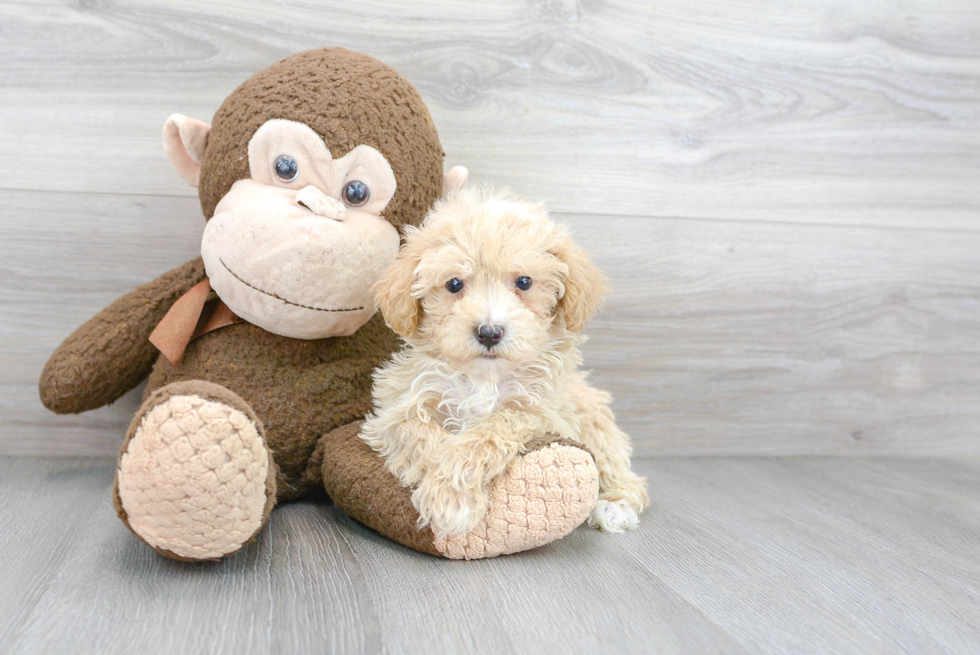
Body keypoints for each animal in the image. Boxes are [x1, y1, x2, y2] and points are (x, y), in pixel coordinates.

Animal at [362, 186, 652, 540]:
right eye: (454, 284)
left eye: (524, 282)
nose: (489, 332)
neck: (484, 378)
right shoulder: (397, 409)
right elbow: (421, 435)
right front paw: (450, 495)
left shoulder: (543, 412)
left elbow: (493, 427)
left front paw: (452, 497)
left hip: (594, 421)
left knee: (624, 475)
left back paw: (614, 506)